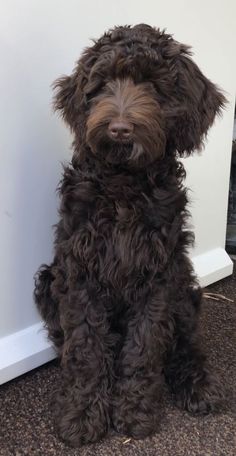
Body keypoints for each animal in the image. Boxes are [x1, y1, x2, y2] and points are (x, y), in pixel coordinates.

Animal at [34, 24, 226, 446]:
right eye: (103, 84)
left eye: (153, 86)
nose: (119, 129)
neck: (124, 182)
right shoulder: (78, 273)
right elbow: (86, 346)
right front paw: (83, 413)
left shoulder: (158, 277)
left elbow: (145, 345)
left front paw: (135, 412)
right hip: (46, 282)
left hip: (183, 285)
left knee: (186, 345)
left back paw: (199, 386)